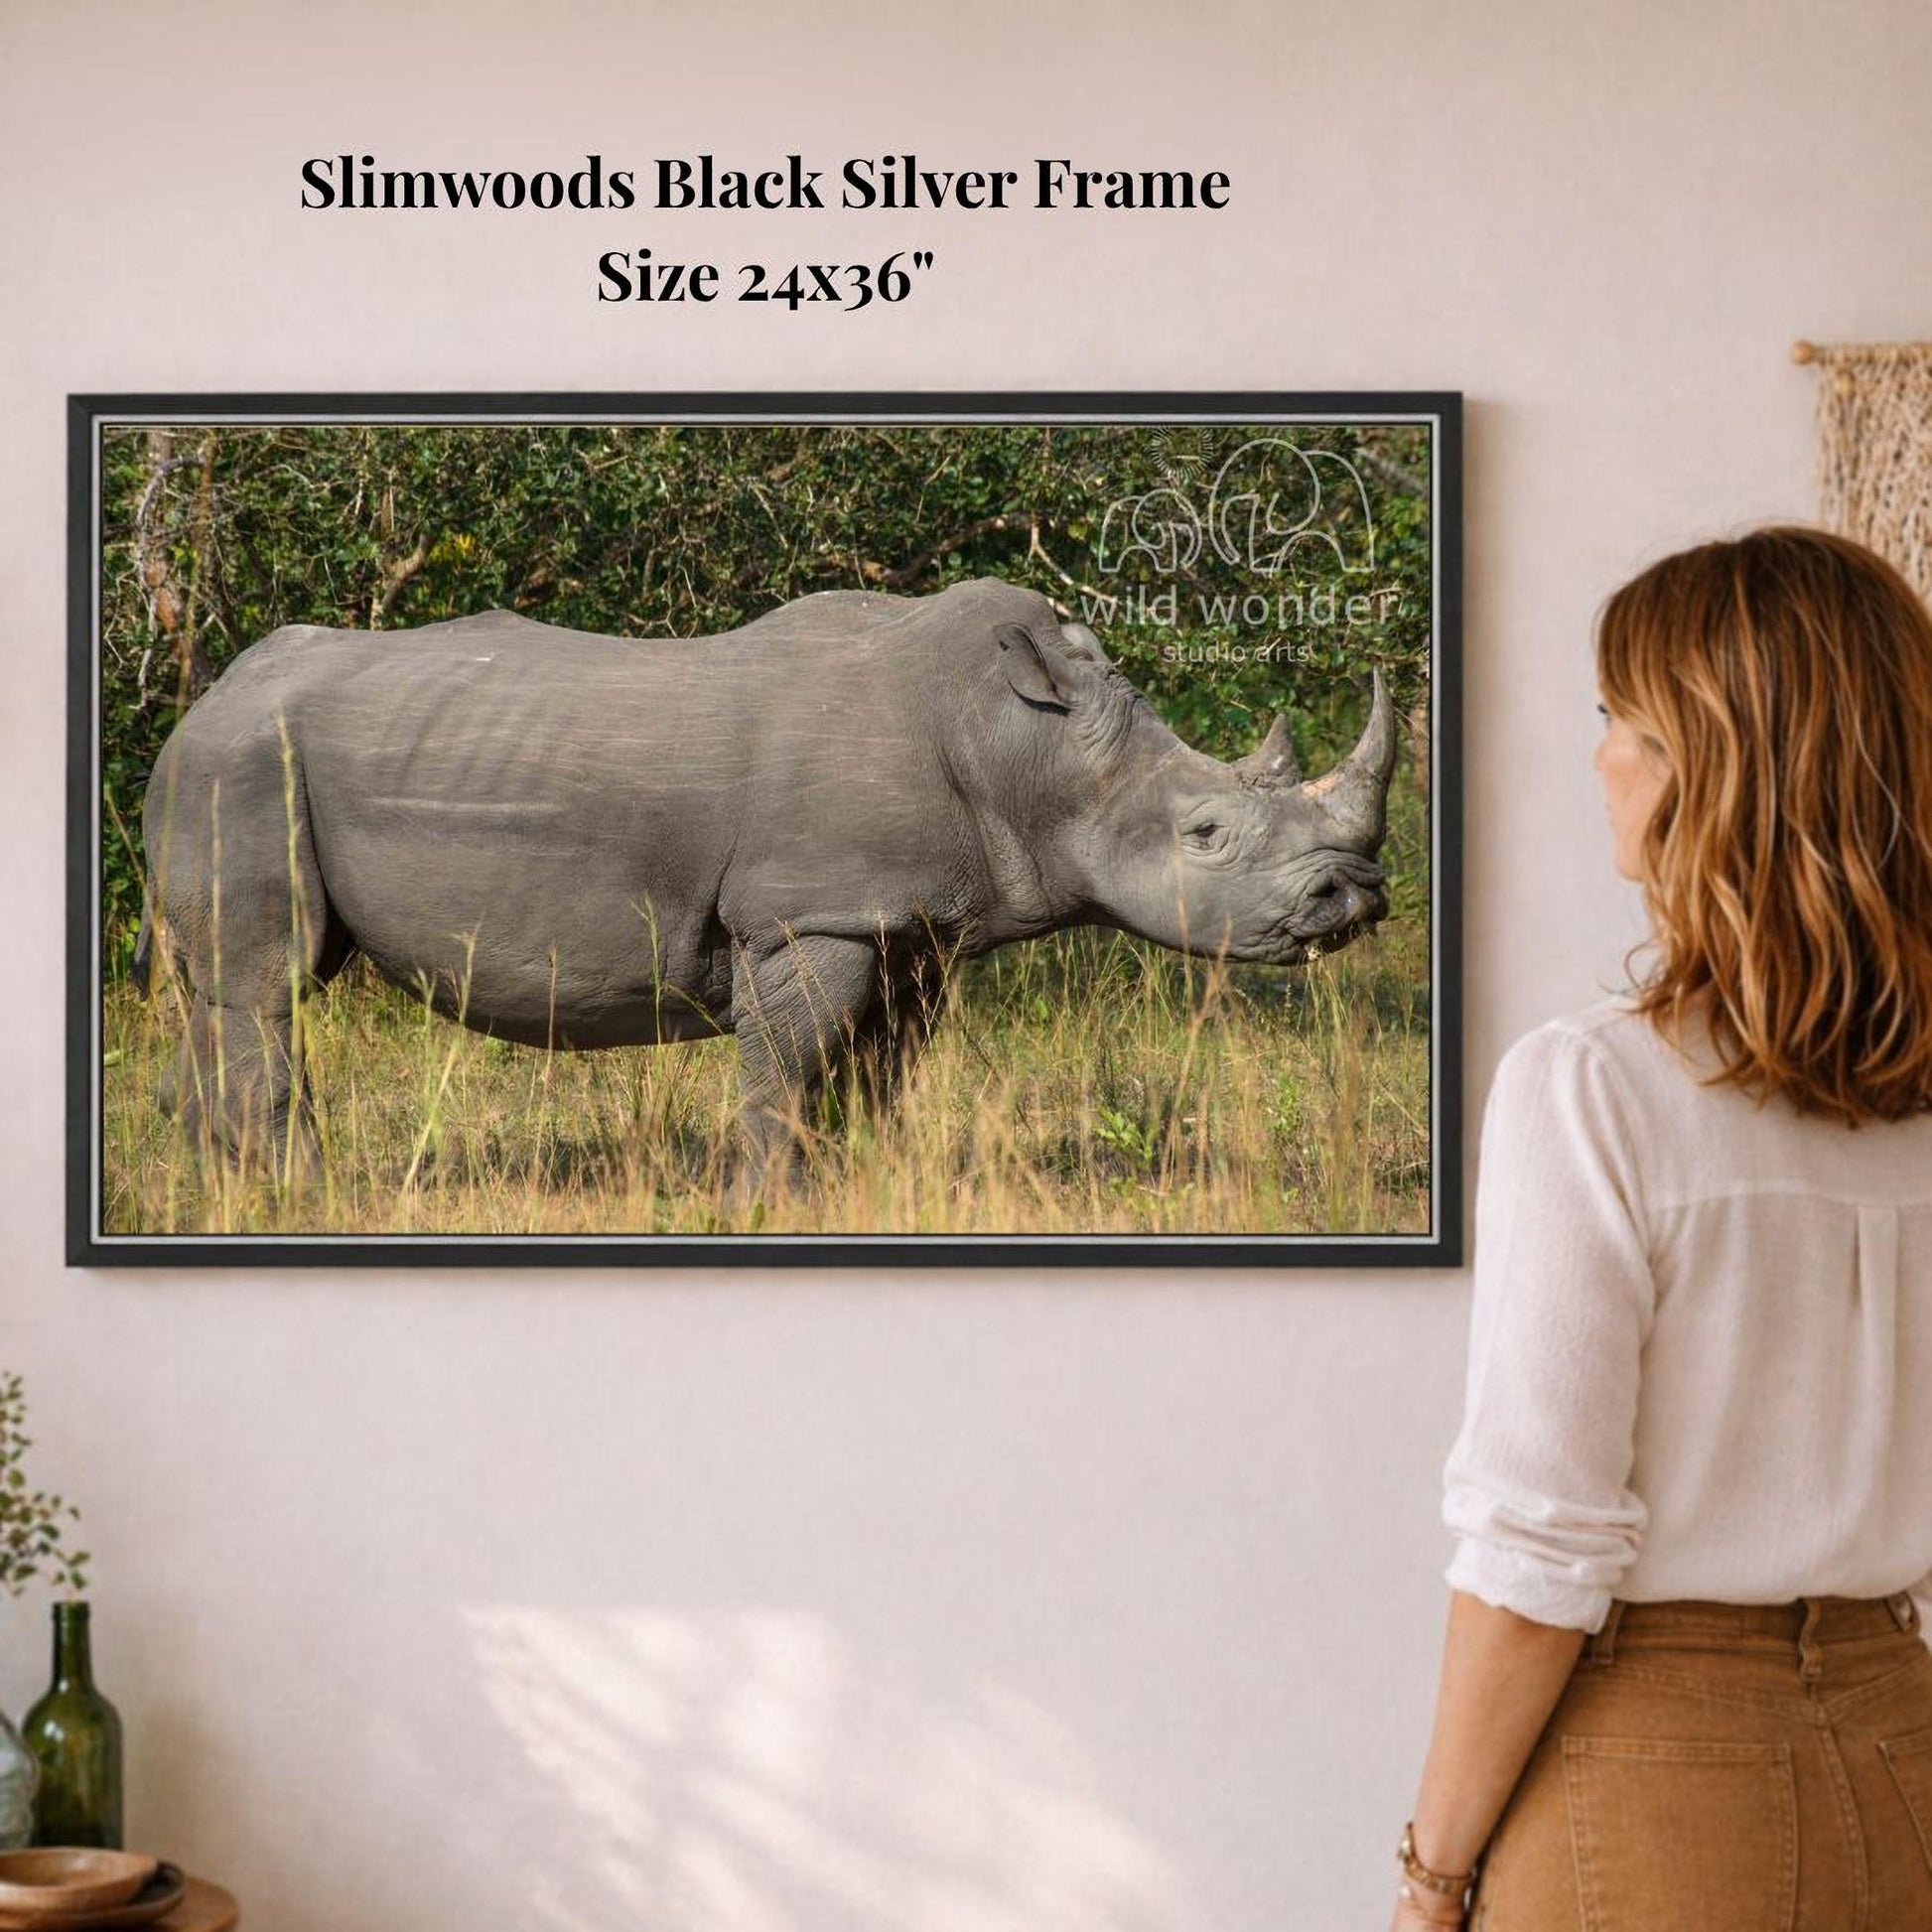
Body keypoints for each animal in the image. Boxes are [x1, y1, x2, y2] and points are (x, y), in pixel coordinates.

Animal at [135, 577, 1397, 1194]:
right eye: (1204, 832)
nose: (1354, 898)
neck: (1021, 744)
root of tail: (203, 701)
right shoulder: (811, 911)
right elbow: (786, 1066)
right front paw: (764, 1203)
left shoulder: (910, 926)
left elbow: (872, 1073)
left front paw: (856, 1187)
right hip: (244, 765)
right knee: (269, 987)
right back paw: (299, 1196)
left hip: (235, 763)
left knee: (228, 991)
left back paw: (214, 1190)